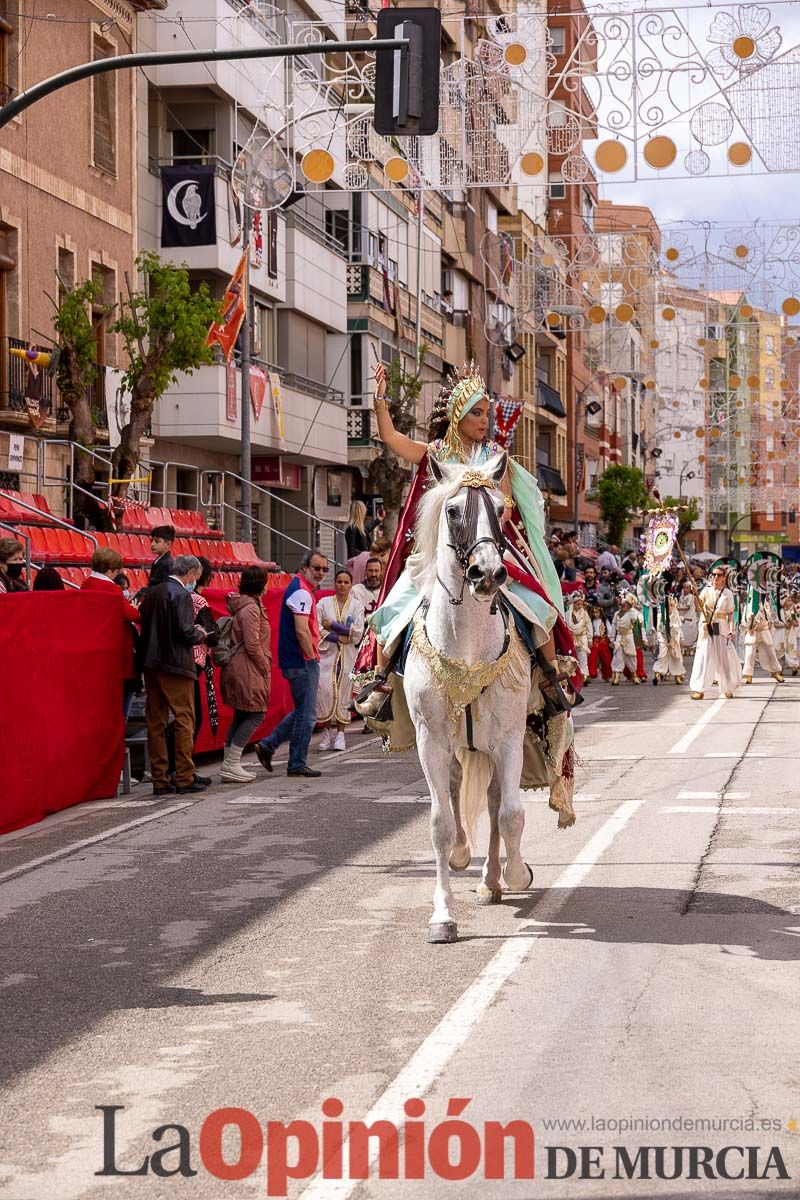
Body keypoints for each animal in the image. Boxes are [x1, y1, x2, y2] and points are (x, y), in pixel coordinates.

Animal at [402, 451, 534, 945]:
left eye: (502, 509)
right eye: (454, 511)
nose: (488, 573)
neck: (468, 648)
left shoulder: (510, 738)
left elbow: (511, 813)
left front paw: (515, 874)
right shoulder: (431, 740)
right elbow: (440, 823)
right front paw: (442, 916)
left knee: (496, 804)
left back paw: (492, 880)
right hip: (459, 746)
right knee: (459, 793)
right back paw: (466, 860)